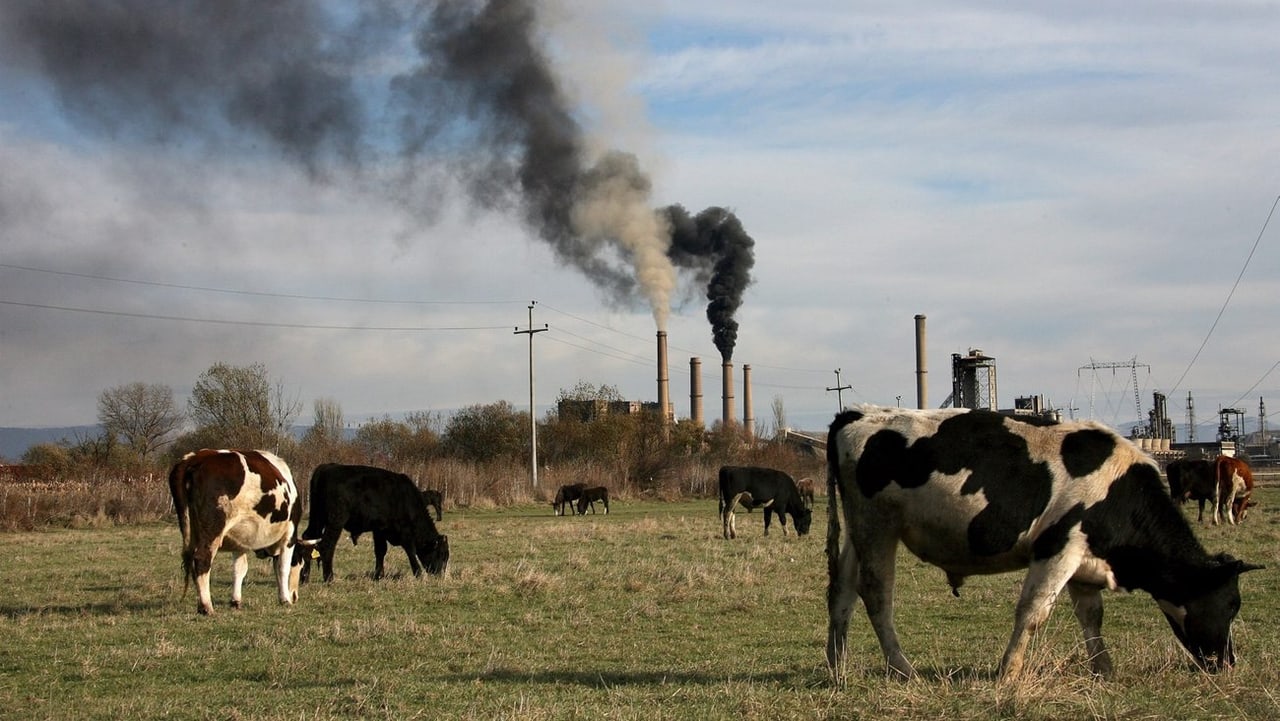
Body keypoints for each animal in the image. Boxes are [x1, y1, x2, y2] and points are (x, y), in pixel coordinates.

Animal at [167, 450, 317, 614]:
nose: (295, 596)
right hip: (212, 530)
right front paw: (285, 600)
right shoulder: (289, 535)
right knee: (202, 560)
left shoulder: (240, 540)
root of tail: (195, 458)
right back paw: (206, 606)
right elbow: (283, 568)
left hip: (189, 528)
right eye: (301, 564)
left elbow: (239, 569)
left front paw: (236, 601)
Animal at [300, 466, 450, 583]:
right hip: (335, 522)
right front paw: (418, 573)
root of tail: (325, 468)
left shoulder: (379, 530)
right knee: (327, 545)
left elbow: (380, 551)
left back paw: (304, 578)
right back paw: (329, 578)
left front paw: (379, 575)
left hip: (317, 519)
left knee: (308, 540)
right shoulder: (404, 532)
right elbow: (410, 551)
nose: (440, 575)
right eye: (441, 554)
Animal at [824, 407, 1264, 681]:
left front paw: (1104, 669)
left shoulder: (1085, 562)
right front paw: (1008, 673)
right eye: (1231, 604)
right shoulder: (1058, 548)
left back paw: (837, 666)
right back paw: (902, 668)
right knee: (875, 593)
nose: (1228, 663)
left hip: (858, 533)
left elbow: (1091, 616)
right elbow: (1034, 612)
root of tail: (858, 413)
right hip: (878, 526)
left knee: (841, 592)